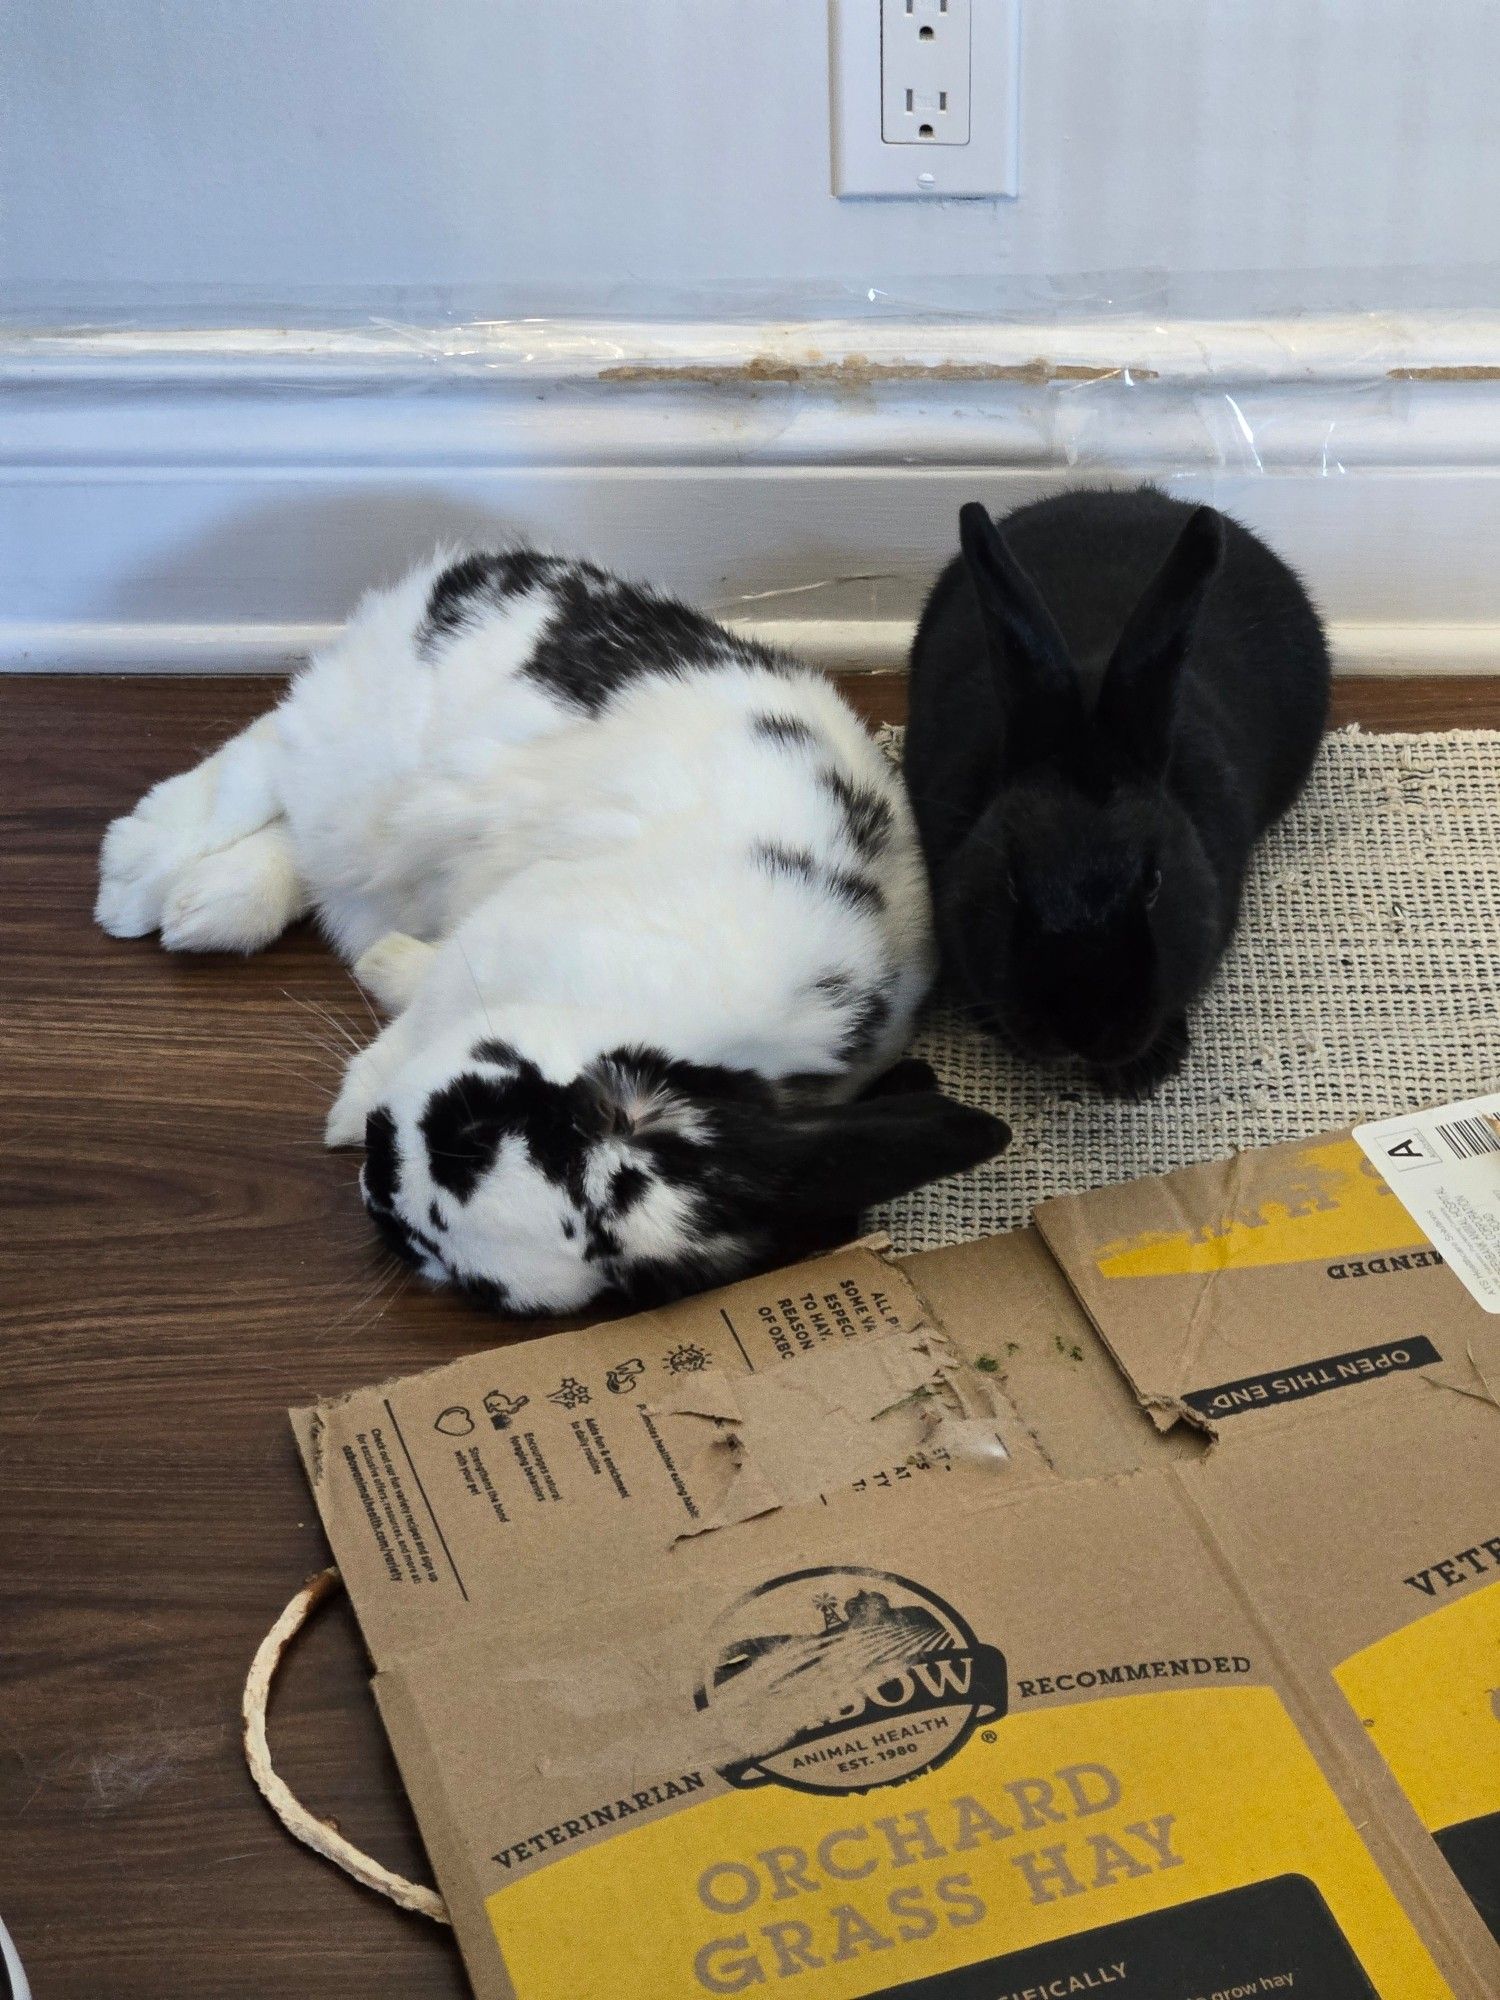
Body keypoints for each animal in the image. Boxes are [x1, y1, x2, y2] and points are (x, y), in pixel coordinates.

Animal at [97, 548, 1012, 1312]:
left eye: (462, 1274)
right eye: (469, 1131)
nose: (375, 1167)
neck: (627, 1018)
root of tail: (479, 574)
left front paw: (374, 1011)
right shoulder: (510, 928)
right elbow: (422, 1013)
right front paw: (355, 1087)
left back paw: (207, 909)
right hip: (371, 759)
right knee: (263, 764)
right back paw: (136, 881)